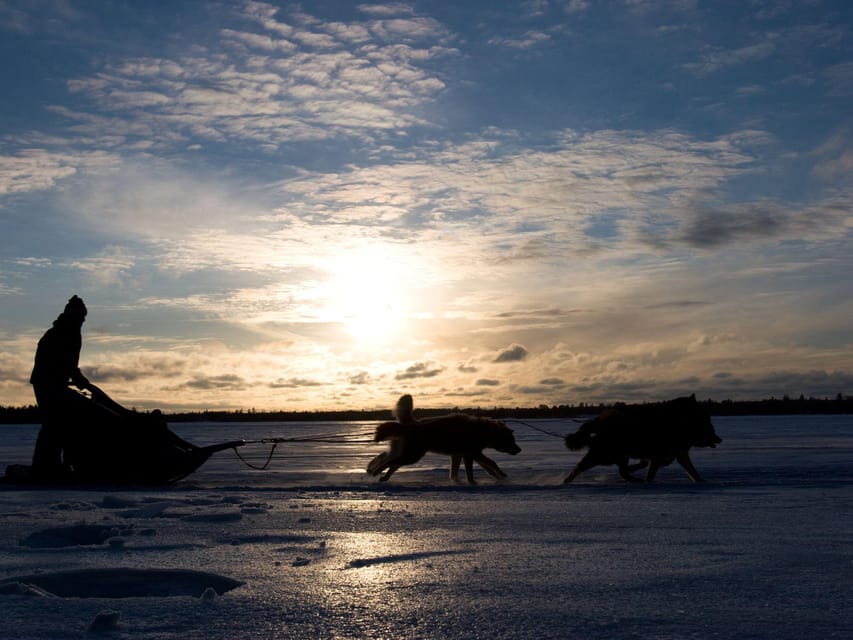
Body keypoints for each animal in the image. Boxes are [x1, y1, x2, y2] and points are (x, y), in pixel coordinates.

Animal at [364, 412, 520, 482]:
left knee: (393, 464)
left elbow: (459, 471)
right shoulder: (472, 454)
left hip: (410, 456)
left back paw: (383, 476)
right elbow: (490, 464)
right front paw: (473, 482)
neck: (482, 431)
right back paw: (376, 472)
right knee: (390, 462)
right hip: (412, 457)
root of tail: (409, 426)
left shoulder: (462, 454)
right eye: (511, 440)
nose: (519, 449)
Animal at [564, 392, 720, 482]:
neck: (677, 421)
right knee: (581, 466)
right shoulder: (659, 454)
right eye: (707, 423)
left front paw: (701, 482)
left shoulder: (677, 453)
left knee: (622, 471)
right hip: (606, 454)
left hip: (619, 455)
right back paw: (565, 481)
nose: (719, 439)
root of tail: (599, 419)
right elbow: (651, 472)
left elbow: (692, 470)